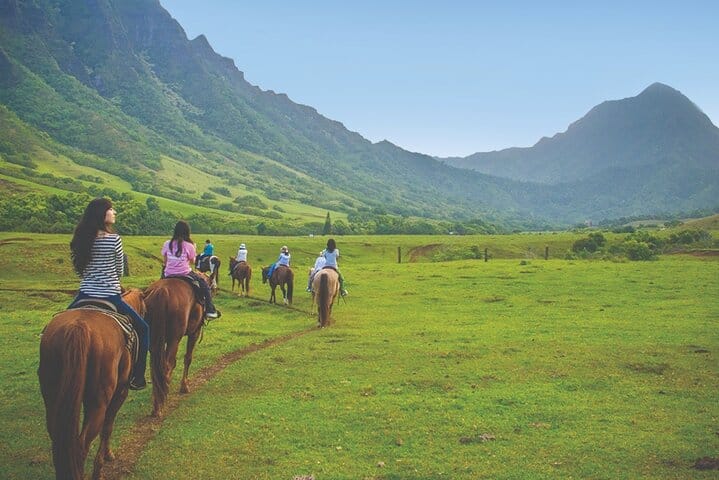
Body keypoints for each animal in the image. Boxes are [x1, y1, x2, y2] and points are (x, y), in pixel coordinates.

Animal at [39, 288, 148, 480]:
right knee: (81, 445)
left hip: (52, 397)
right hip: (99, 402)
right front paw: (105, 458)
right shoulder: (120, 392)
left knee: (59, 437)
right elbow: (108, 426)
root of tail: (78, 327)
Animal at [143, 274, 215, 416]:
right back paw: (161, 401)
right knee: (167, 365)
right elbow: (188, 358)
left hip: (154, 341)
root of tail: (162, 292)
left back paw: (157, 403)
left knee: (155, 368)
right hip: (174, 339)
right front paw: (184, 386)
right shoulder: (195, 332)